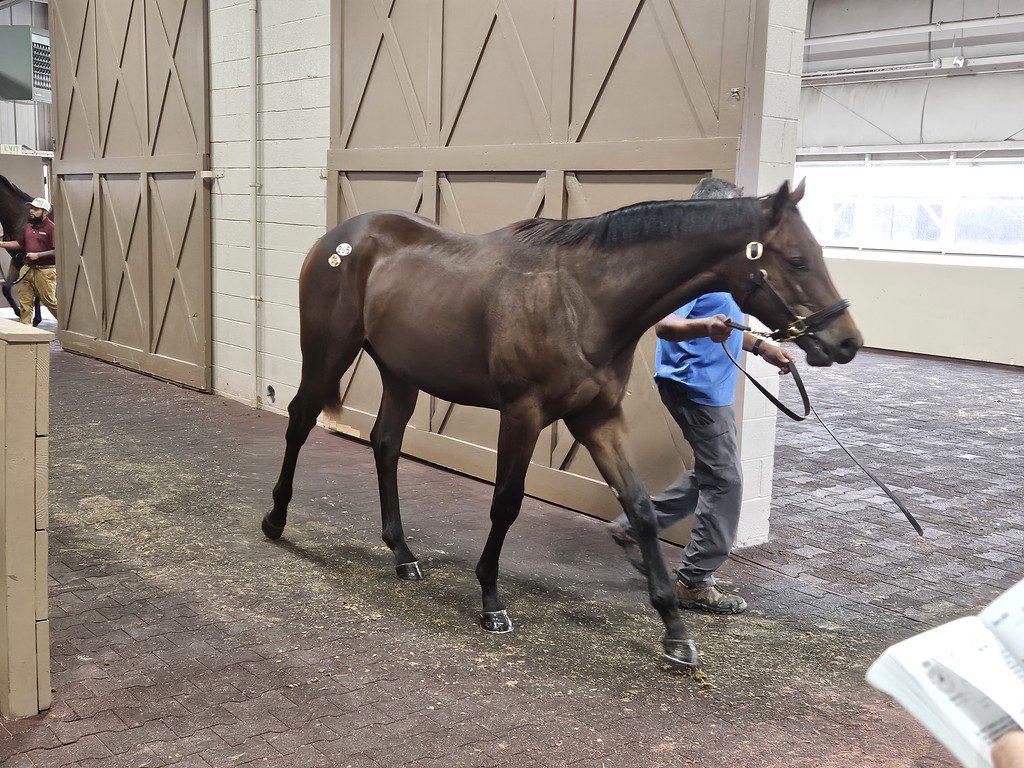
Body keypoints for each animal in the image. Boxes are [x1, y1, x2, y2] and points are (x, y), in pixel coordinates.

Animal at [260, 179, 860, 667]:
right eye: (797, 260)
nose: (847, 342)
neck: (581, 299)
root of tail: (338, 239)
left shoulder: (597, 417)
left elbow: (641, 509)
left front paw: (674, 629)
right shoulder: (522, 413)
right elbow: (506, 501)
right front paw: (490, 599)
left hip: (401, 373)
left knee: (385, 444)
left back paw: (403, 554)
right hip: (329, 353)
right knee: (299, 420)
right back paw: (276, 519)